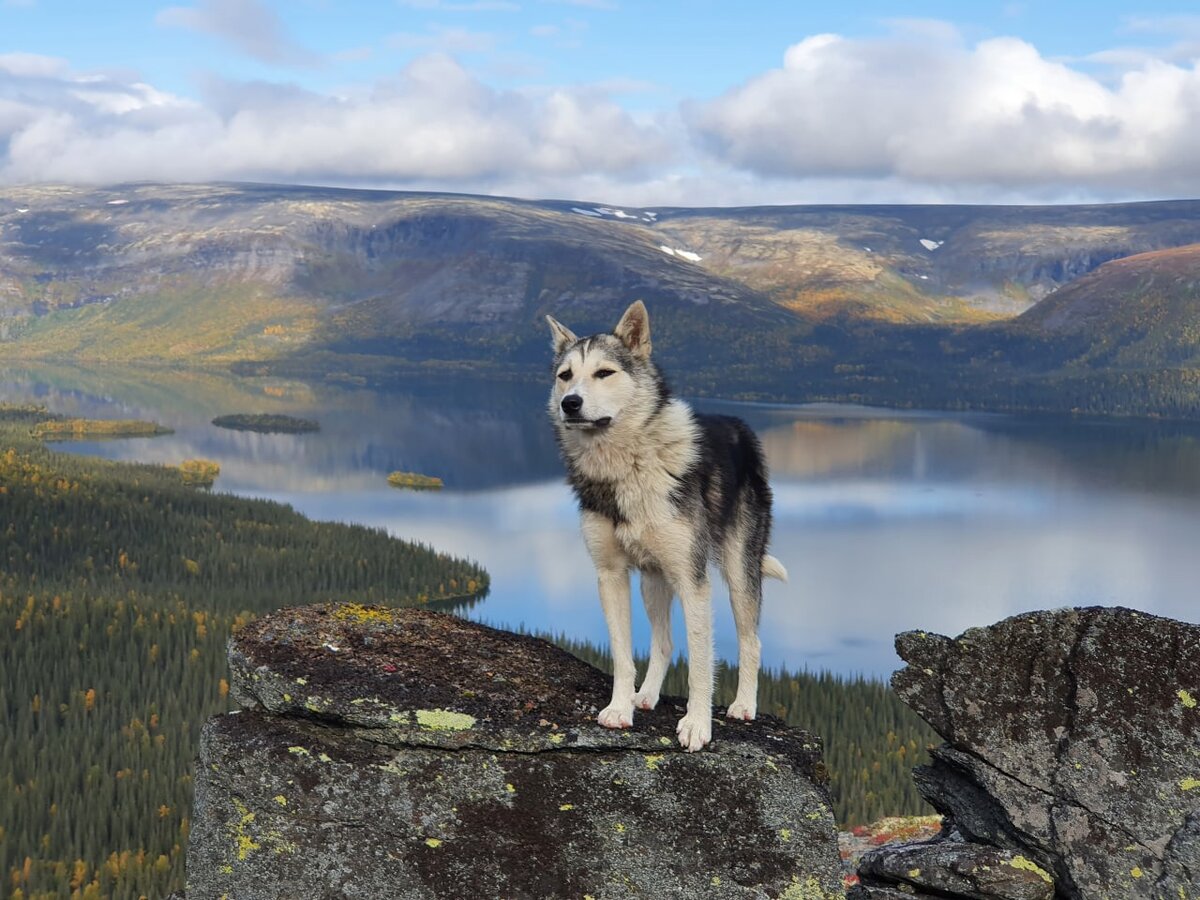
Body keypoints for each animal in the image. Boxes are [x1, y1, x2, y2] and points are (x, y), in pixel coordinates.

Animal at [547, 303, 787, 753]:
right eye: (565, 375)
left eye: (604, 373)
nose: (570, 404)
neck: (628, 466)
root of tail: (741, 428)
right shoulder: (611, 576)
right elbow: (623, 655)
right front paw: (620, 708)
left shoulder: (693, 580)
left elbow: (701, 663)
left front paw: (697, 725)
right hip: (653, 581)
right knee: (664, 642)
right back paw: (646, 696)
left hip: (739, 570)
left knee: (751, 640)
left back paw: (744, 705)